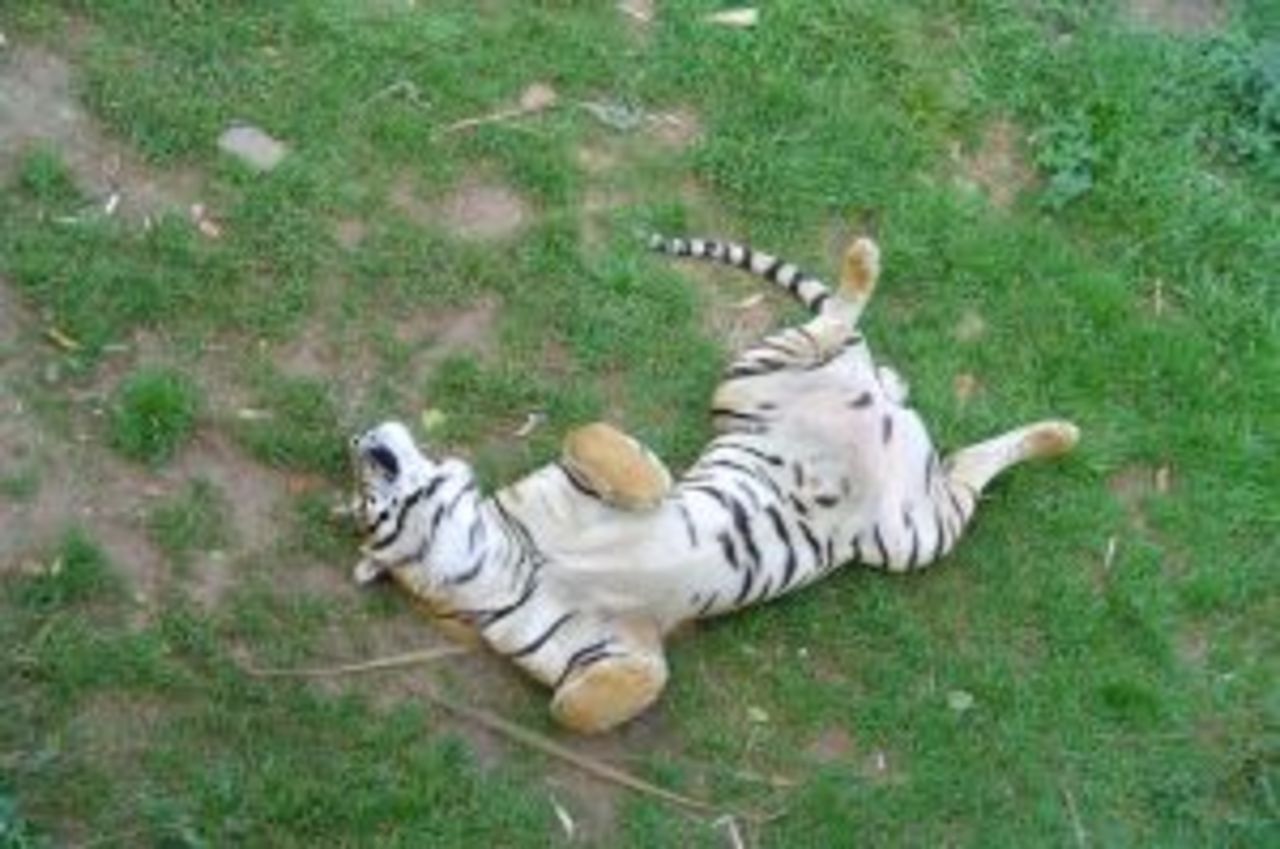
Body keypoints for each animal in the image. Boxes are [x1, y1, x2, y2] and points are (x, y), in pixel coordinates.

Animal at [350, 234, 1079, 734]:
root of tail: (880, 401)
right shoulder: (600, 648)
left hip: (758, 373)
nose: (360, 438)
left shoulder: (566, 476)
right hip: (911, 530)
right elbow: (576, 706)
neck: (511, 560)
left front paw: (641, 475)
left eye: (362, 494)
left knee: (837, 320)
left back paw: (864, 258)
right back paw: (1060, 433)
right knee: (967, 465)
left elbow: (596, 442)